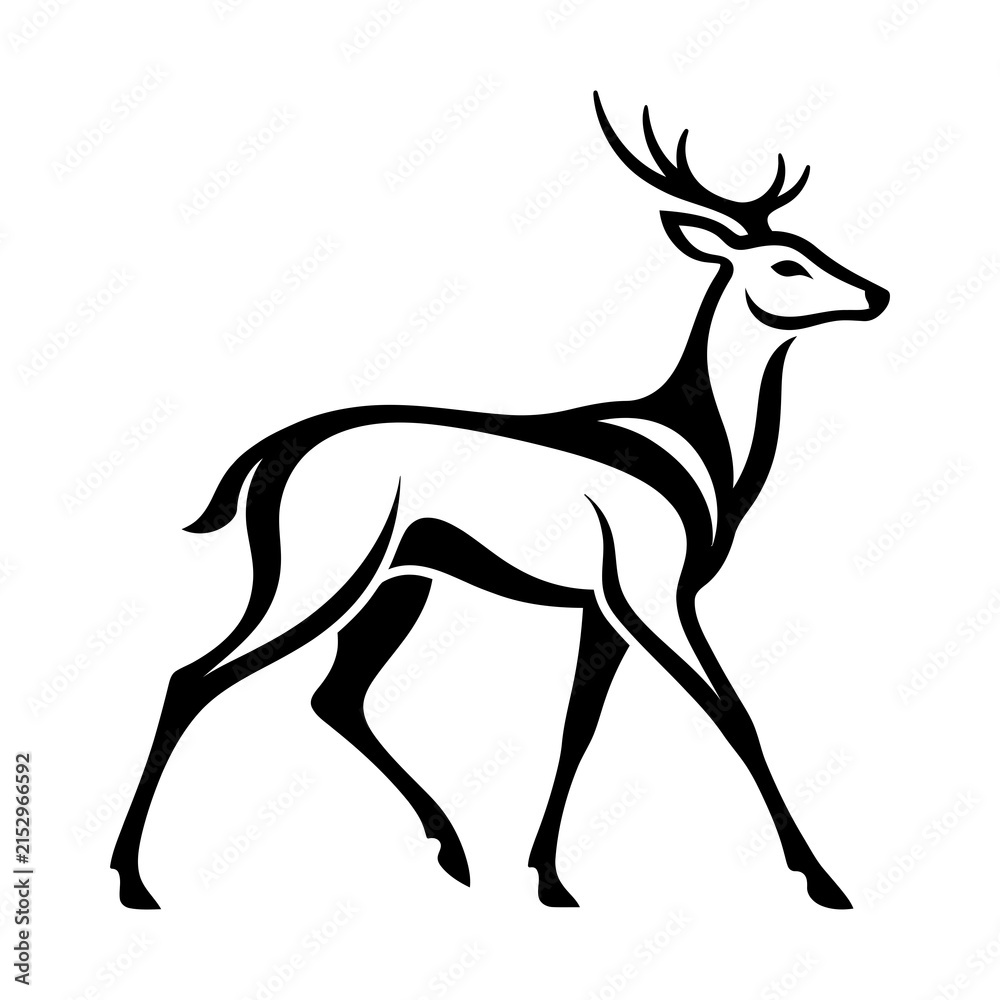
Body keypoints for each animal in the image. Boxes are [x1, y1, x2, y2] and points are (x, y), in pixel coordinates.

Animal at [111, 92, 889, 911]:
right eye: (786, 261)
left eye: (811, 244)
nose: (877, 294)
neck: (704, 451)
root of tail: (275, 448)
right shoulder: (655, 594)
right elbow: (734, 711)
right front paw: (824, 880)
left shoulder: (601, 607)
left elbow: (580, 724)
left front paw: (549, 878)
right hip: (319, 576)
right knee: (195, 678)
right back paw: (134, 880)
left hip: (400, 583)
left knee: (335, 695)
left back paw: (453, 851)